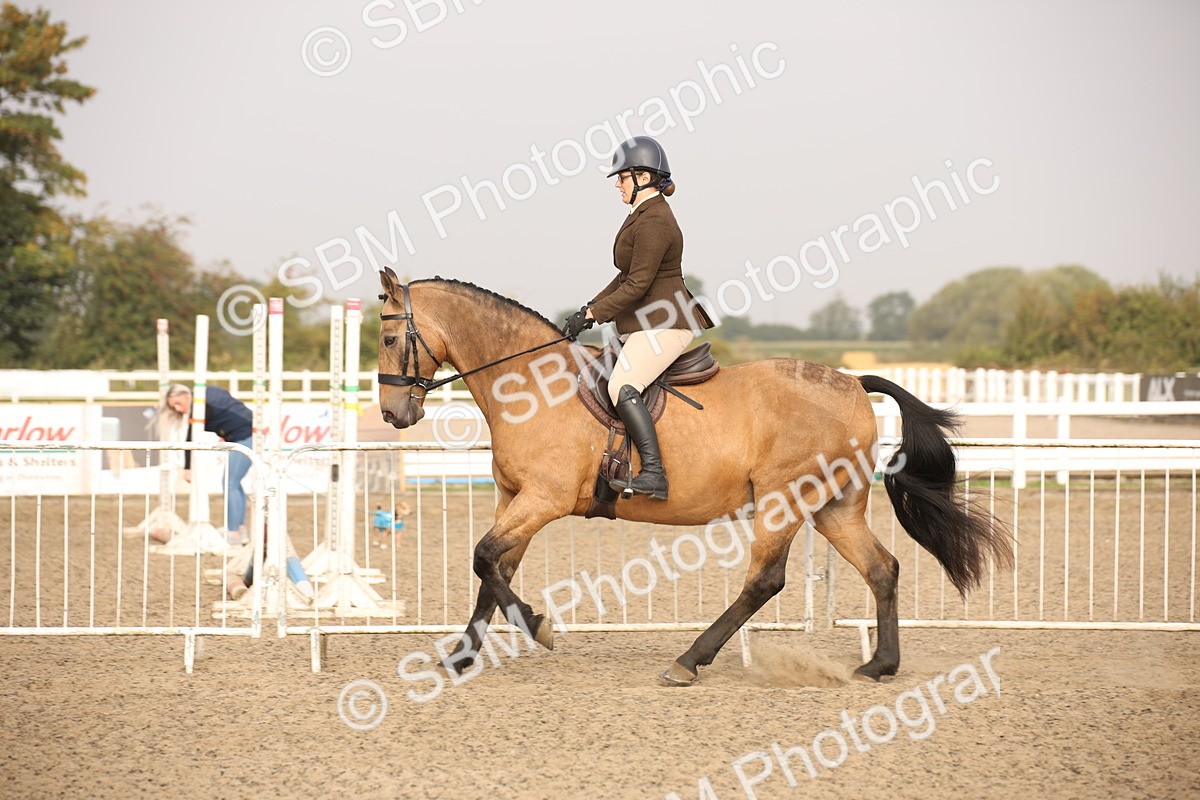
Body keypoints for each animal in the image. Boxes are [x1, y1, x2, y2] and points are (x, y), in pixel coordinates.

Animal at [375, 269, 1012, 683]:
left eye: (386, 337)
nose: (392, 414)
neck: (529, 384)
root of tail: (854, 382)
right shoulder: (513, 497)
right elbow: (494, 568)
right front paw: (461, 656)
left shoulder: (543, 499)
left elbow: (486, 558)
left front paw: (538, 626)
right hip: (834, 506)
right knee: (882, 568)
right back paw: (881, 665)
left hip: (784, 500)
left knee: (765, 580)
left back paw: (688, 661)